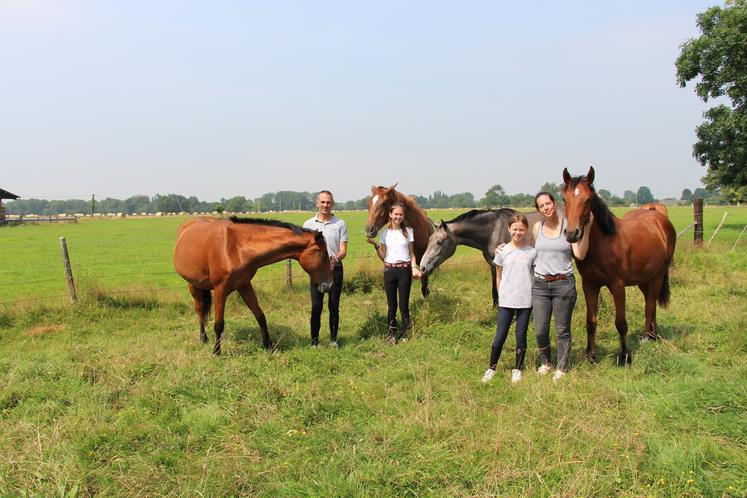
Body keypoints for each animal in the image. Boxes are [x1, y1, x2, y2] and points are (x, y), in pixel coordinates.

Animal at [174, 217, 332, 354]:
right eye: (323, 255)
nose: (329, 285)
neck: (235, 247)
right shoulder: (220, 290)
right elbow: (219, 324)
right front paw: (216, 352)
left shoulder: (244, 285)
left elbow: (260, 315)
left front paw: (269, 345)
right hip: (193, 284)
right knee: (200, 309)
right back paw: (203, 338)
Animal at [560, 165, 676, 364]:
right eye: (564, 199)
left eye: (588, 199)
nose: (572, 234)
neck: (603, 244)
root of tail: (659, 216)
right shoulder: (589, 285)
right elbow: (591, 322)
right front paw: (591, 355)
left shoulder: (617, 285)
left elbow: (621, 323)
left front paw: (625, 356)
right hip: (644, 279)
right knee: (650, 302)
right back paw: (653, 334)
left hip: (659, 274)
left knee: (650, 305)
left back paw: (646, 337)